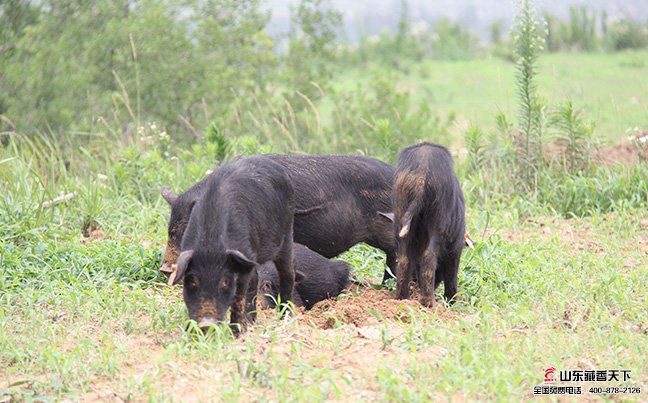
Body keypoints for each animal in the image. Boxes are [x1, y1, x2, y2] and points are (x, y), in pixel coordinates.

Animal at [168, 156, 298, 332]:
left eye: (225, 281)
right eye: (193, 280)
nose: (207, 323)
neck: (211, 245)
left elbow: (239, 298)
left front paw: (237, 332)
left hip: (286, 234)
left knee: (288, 271)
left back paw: (283, 317)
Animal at [388, 143, 464, 306]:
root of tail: (421, 176)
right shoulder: (456, 246)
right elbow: (452, 274)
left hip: (400, 216)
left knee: (403, 259)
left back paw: (402, 298)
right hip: (438, 224)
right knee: (429, 257)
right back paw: (428, 301)